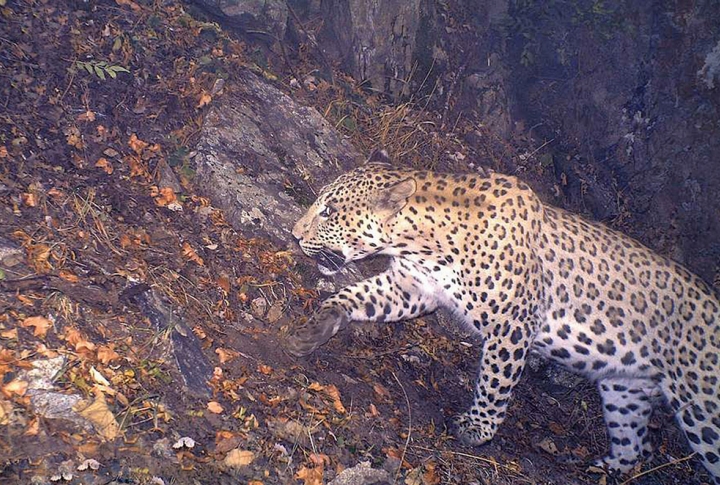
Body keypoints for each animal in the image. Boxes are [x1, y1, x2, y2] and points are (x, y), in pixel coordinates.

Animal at [285, 155, 720, 483]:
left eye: (329, 211)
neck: (422, 242)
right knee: (632, 447)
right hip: (624, 390)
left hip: (702, 406)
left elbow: (495, 381)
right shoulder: (410, 288)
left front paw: (477, 430)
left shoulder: (512, 325)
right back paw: (605, 468)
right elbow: (354, 296)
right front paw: (315, 328)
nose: (293, 234)